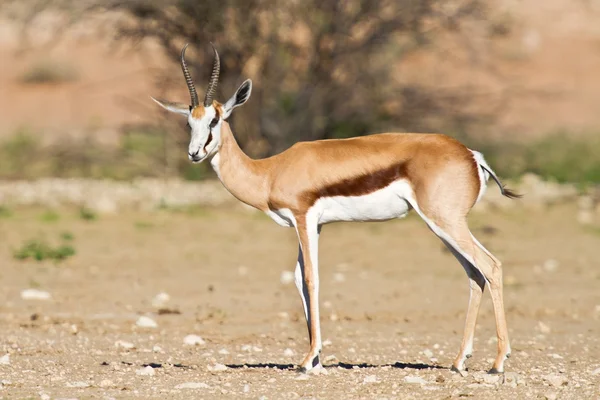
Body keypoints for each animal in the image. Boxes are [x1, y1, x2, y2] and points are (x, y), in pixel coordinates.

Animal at [154, 43, 520, 376]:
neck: (270, 171)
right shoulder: (312, 225)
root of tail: (471, 155)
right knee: (475, 273)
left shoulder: (304, 218)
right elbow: (299, 279)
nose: (195, 153)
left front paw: (307, 362)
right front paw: (315, 361)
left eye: (215, 120)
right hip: (442, 225)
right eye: (189, 123)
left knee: (492, 265)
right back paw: (459, 362)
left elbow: (311, 278)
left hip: (445, 221)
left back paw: (497, 364)